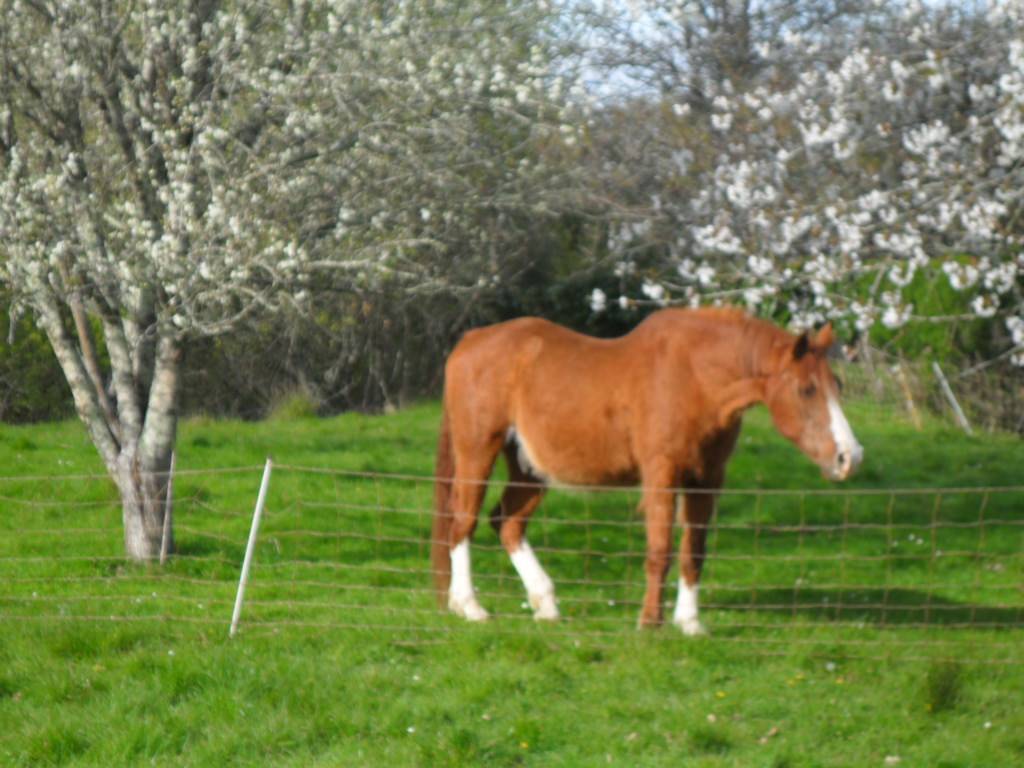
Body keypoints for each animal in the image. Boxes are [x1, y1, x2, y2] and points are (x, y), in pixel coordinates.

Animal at [431, 307, 863, 634]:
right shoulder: (662, 476)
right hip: (478, 451)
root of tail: (470, 341)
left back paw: (545, 604)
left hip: (530, 467)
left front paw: (690, 623)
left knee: (507, 523)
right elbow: (661, 550)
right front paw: (650, 622)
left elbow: (694, 551)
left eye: (838, 386)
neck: (694, 377)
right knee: (463, 522)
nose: (849, 457)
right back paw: (469, 606)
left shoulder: (706, 480)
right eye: (807, 389)